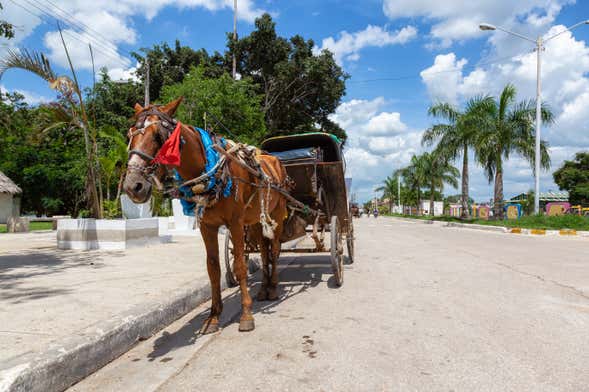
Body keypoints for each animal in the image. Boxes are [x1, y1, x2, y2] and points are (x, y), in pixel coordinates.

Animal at [123, 97, 288, 330]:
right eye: (130, 135)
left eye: (158, 137)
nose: (132, 186)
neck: (210, 173)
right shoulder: (206, 225)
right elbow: (213, 268)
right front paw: (213, 316)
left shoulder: (236, 223)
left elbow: (240, 266)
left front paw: (246, 315)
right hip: (256, 219)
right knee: (264, 251)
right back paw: (264, 289)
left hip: (278, 213)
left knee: (274, 249)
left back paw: (272, 287)